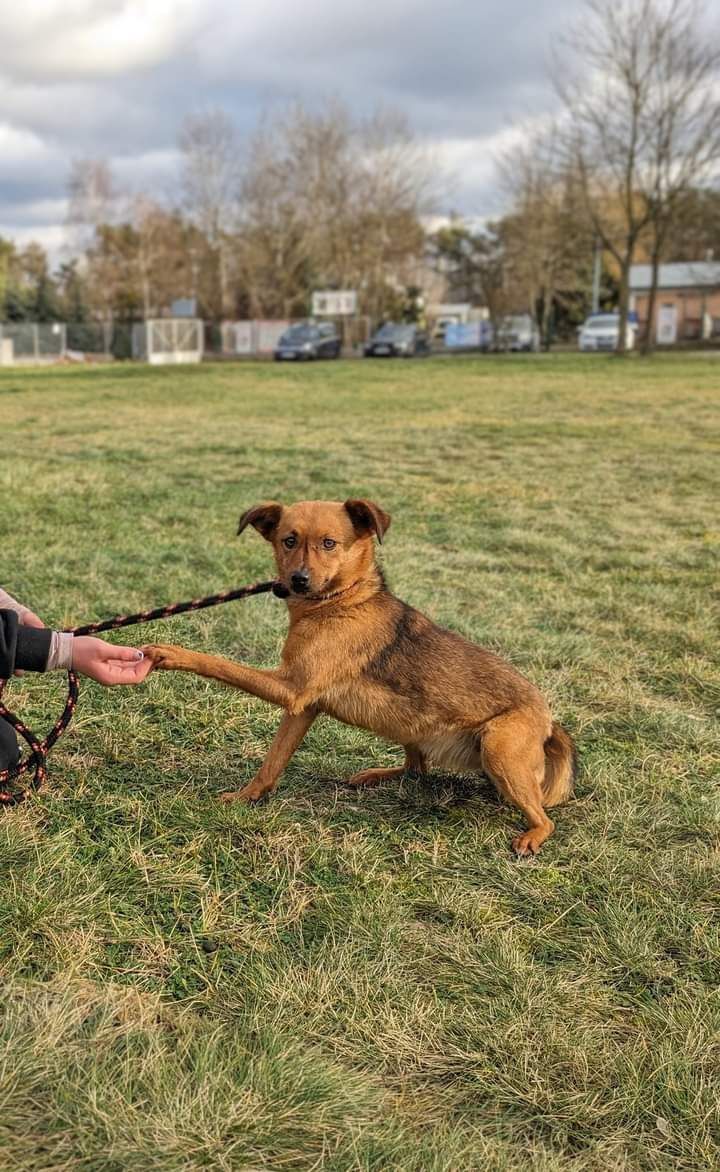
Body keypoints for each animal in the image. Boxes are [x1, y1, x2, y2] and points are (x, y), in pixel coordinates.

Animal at [143, 496, 579, 853]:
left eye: (329, 543)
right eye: (288, 540)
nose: (297, 580)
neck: (339, 602)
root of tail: (549, 721)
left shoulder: (292, 689)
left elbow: (220, 663)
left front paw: (171, 653)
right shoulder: (302, 708)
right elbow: (272, 762)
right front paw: (248, 797)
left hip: (498, 749)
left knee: (544, 818)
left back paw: (532, 836)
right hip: (412, 724)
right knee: (416, 769)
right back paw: (375, 775)